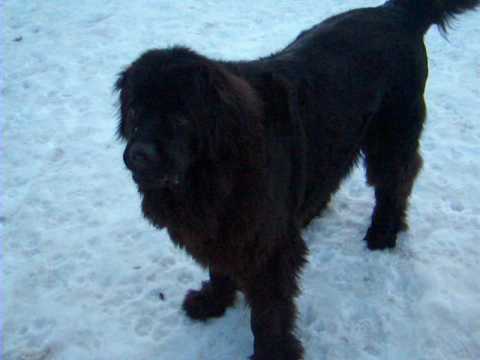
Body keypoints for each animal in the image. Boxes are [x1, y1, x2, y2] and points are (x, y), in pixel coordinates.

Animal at [114, 0, 478, 360]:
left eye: (180, 117)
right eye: (133, 112)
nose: (139, 154)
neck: (212, 174)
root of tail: (394, 11)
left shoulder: (265, 247)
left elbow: (269, 312)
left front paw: (273, 352)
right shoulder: (222, 229)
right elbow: (220, 268)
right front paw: (212, 302)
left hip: (391, 133)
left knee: (395, 182)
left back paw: (383, 233)